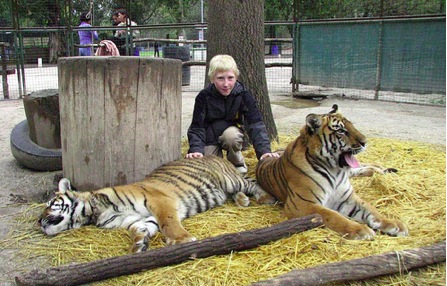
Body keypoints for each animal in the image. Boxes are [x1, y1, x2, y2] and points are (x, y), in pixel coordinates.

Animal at [39, 155, 276, 251]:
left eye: (51, 203)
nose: (39, 221)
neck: (95, 211)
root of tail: (217, 156)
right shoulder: (136, 219)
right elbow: (139, 228)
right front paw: (138, 244)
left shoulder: (159, 201)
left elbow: (168, 222)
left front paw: (182, 239)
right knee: (235, 192)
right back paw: (242, 200)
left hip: (229, 179)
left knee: (251, 183)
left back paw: (265, 198)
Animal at [256, 104, 410, 239]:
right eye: (341, 131)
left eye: (352, 125)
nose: (365, 142)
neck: (335, 170)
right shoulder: (301, 204)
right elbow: (333, 215)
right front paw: (360, 230)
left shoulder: (347, 197)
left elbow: (371, 209)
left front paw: (393, 224)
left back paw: (382, 169)